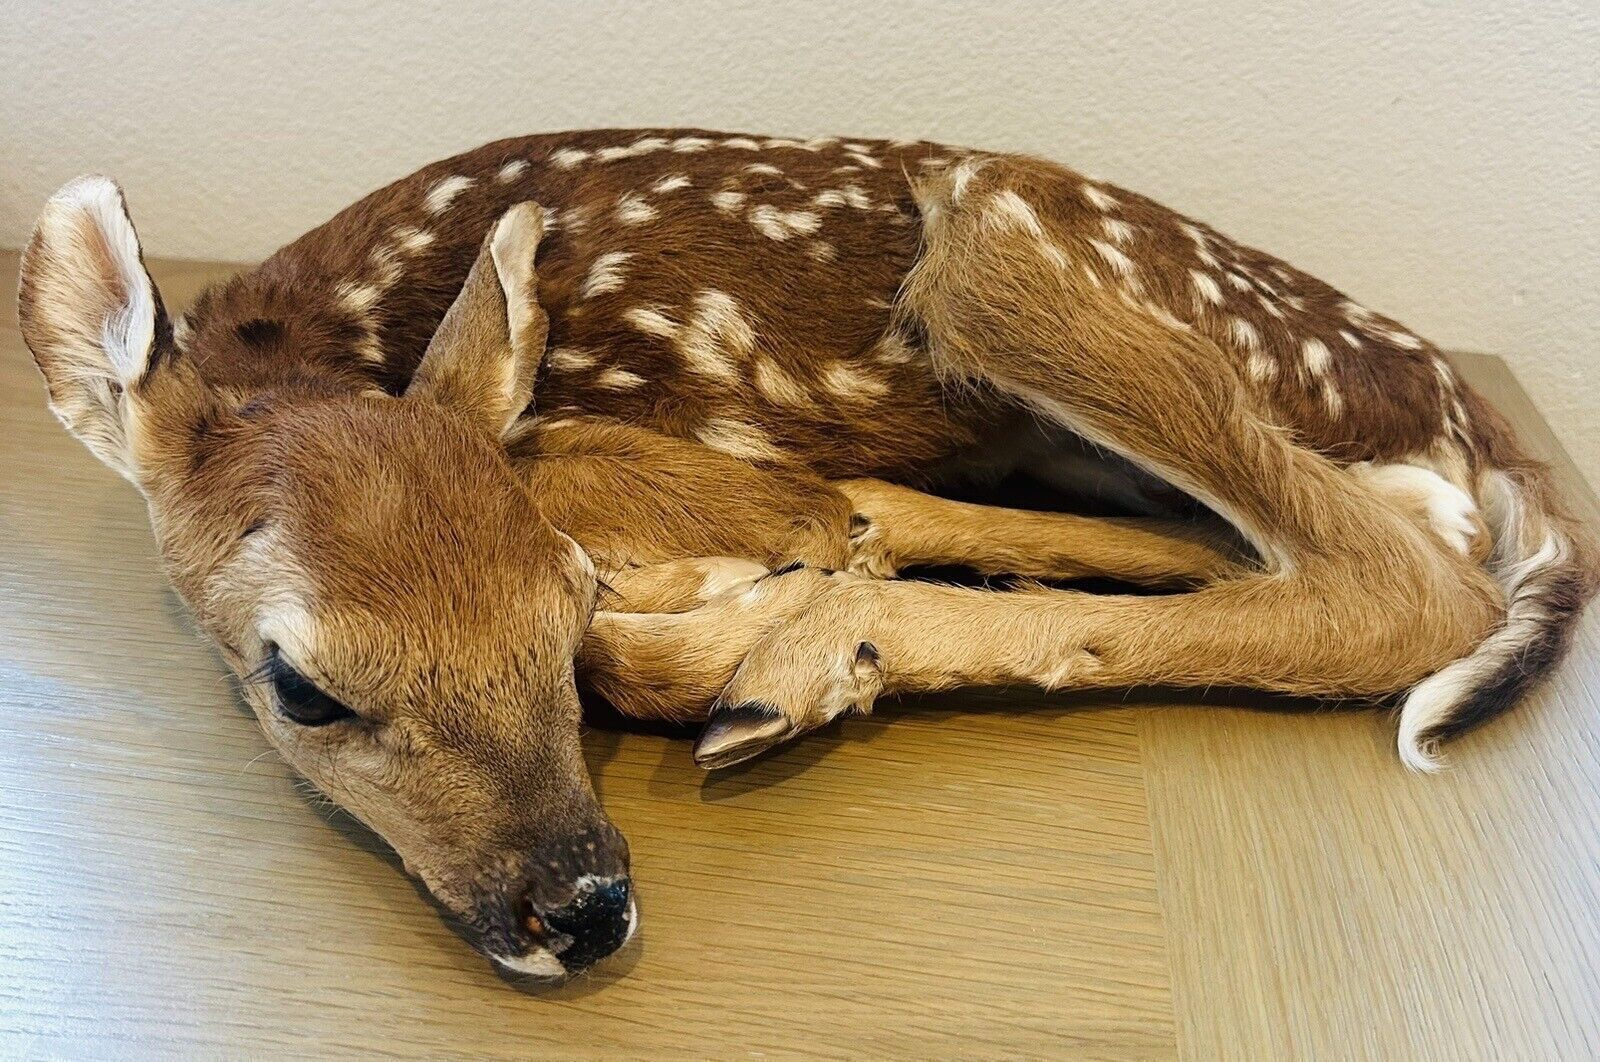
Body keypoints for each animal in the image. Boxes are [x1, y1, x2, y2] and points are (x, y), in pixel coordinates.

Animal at [18, 128, 1596, 983]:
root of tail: (1464, 406)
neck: (317, 344)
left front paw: (724, 602)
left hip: (995, 240)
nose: (582, 909)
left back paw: (795, 651)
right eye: (302, 688)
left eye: (551, 612)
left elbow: (666, 501)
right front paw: (757, 583)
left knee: (1402, 591)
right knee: (1216, 543)